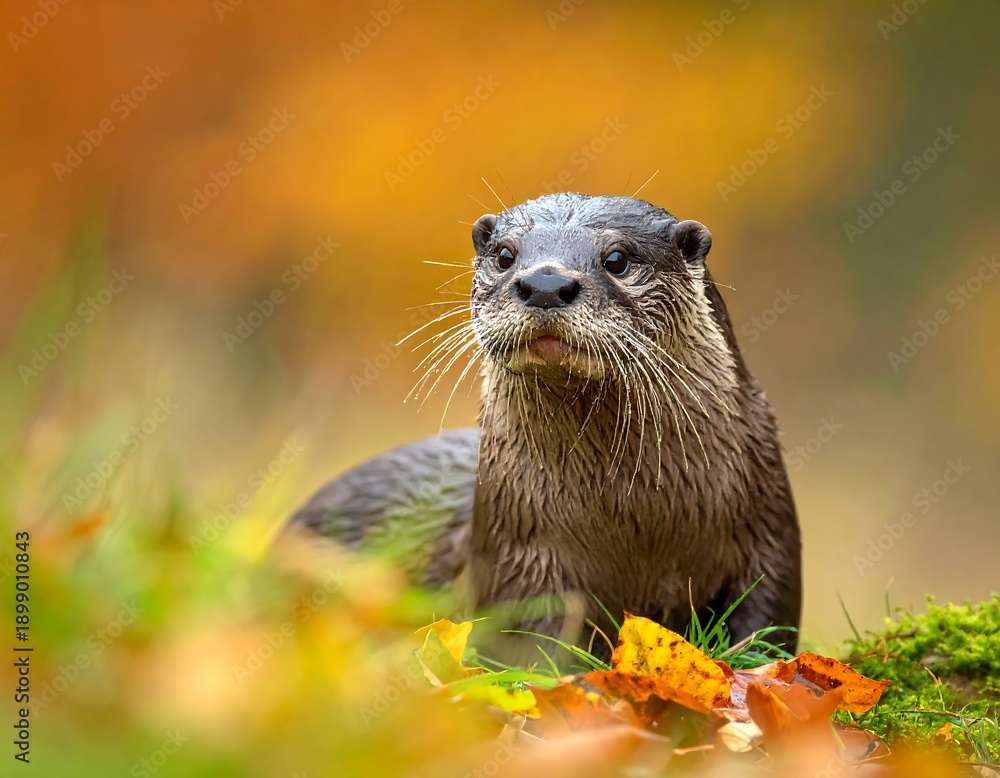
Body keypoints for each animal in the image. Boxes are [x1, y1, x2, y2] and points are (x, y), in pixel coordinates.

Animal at [289, 193, 802, 655]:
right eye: (504, 255)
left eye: (617, 258)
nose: (545, 284)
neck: (635, 516)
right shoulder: (518, 556)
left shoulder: (770, 539)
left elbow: (765, 631)